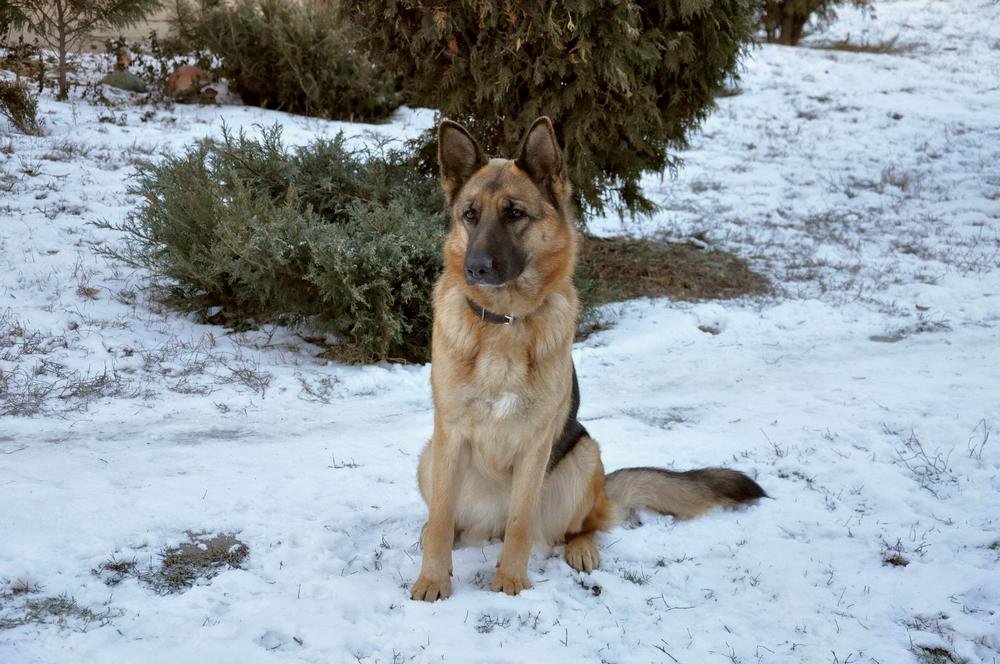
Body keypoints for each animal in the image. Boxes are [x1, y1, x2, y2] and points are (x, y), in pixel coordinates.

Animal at [410, 118, 760, 600]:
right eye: (470, 215)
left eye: (514, 214)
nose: (476, 268)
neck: (505, 321)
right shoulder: (451, 435)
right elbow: (442, 519)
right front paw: (431, 579)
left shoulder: (536, 445)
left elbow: (521, 522)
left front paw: (511, 580)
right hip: (430, 457)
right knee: (446, 523)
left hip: (584, 455)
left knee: (580, 525)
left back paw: (581, 550)